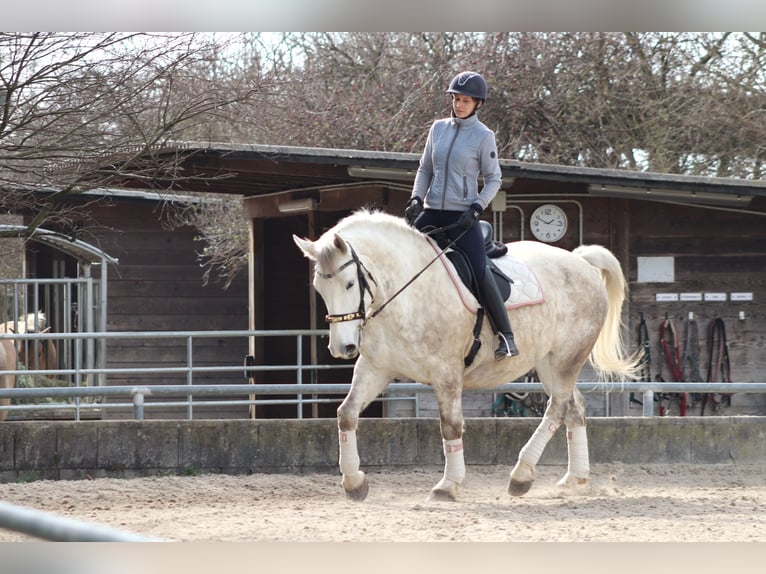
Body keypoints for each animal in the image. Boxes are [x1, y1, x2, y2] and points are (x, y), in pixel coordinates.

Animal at [294, 209, 640, 502]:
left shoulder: (447, 373)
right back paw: (574, 479)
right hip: (549, 364)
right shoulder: (376, 368)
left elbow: (450, 426)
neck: (406, 293)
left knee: (557, 408)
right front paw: (354, 483)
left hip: (566, 358)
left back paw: (521, 476)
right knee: (573, 407)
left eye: (350, 283)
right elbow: (346, 414)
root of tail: (580, 262)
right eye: (319, 288)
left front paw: (448, 486)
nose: (342, 348)